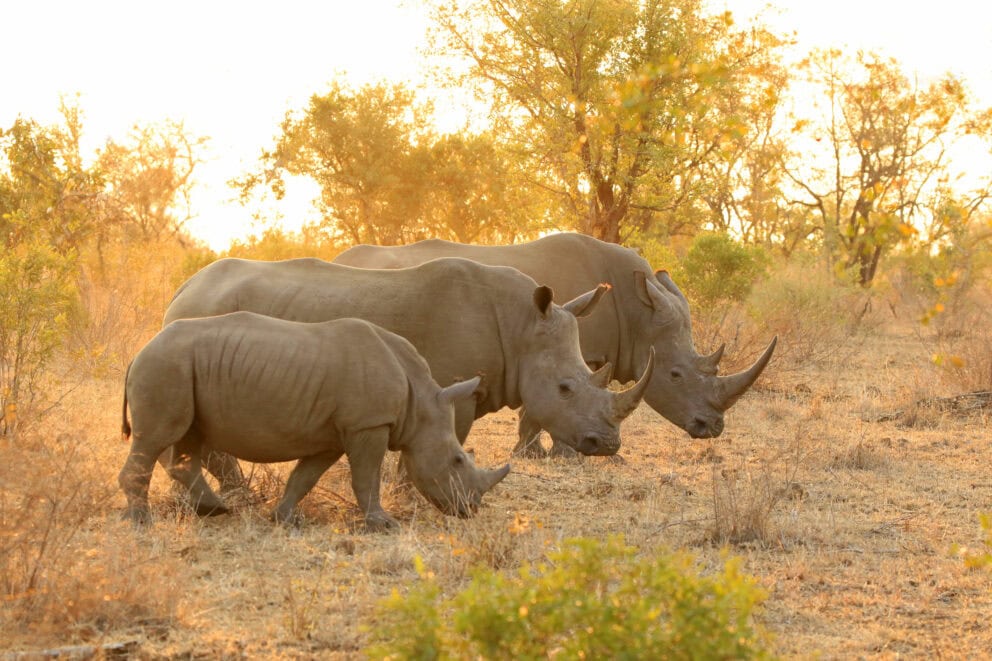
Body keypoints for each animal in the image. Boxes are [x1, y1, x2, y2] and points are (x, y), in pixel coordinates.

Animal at [119, 313, 510, 527]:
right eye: (458, 460)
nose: (472, 509)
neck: (420, 403)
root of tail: (140, 351)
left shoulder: (334, 435)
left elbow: (305, 477)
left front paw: (284, 519)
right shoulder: (368, 424)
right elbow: (366, 477)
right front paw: (384, 525)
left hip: (180, 367)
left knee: (188, 439)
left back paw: (214, 510)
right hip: (166, 365)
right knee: (156, 438)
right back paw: (142, 522)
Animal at [162, 256, 653, 491]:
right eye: (565, 388)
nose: (608, 445)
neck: (520, 327)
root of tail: (182, 288)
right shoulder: (454, 390)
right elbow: (442, 440)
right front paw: (413, 492)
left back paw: (236, 492)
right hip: (204, 315)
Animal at [335, 233, 776, 455]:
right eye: (675, 374)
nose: (712, 428)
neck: (638, 313)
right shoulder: (576, 349)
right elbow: (549, 405)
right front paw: (552, 455)